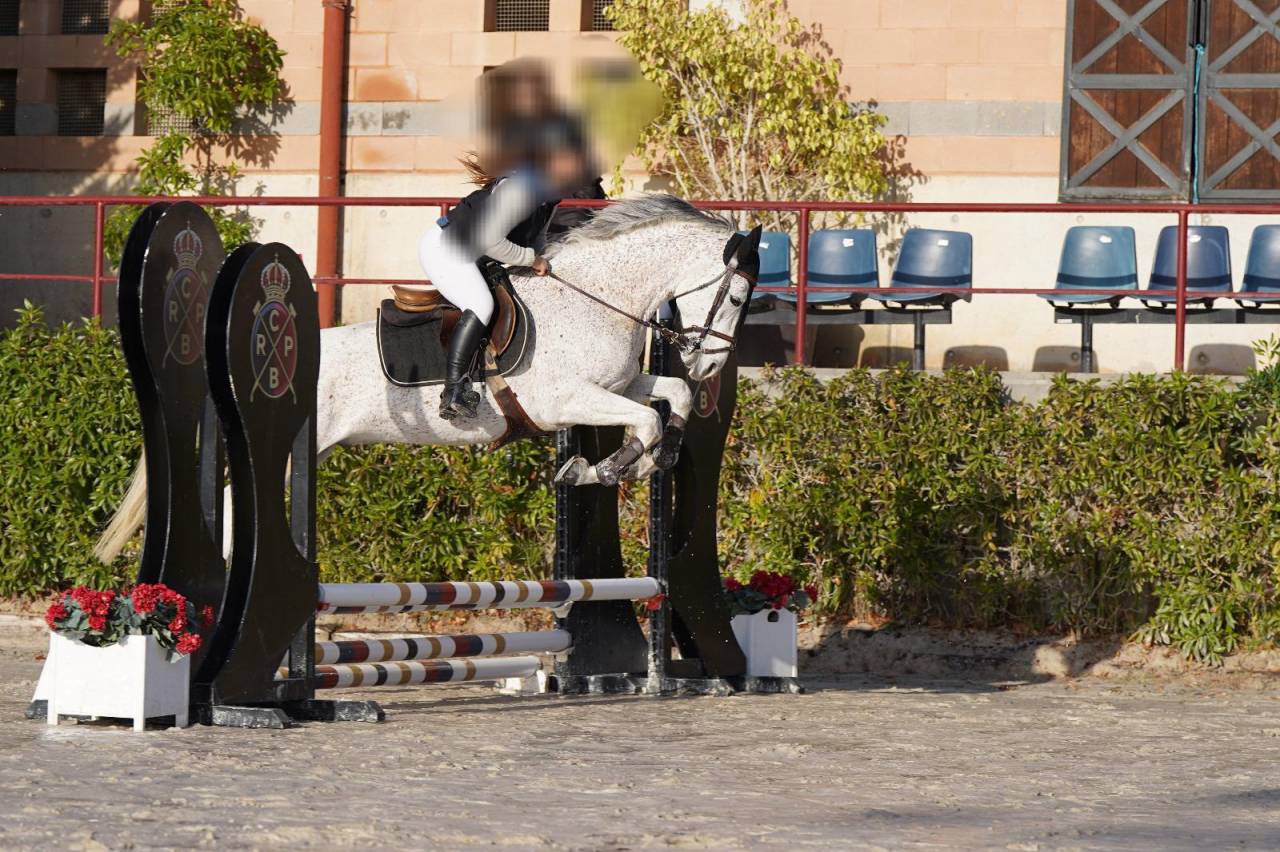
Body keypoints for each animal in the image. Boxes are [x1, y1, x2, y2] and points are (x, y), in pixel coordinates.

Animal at [94, 194, 761, 563]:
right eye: (738, 297)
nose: (710, 364)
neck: (597, 296)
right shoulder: (566, 399)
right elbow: (645, 419)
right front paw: (602, 467)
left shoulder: (613, 387)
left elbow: (668, 399)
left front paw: (650, 459)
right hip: (292, 447)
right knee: (240, 504)